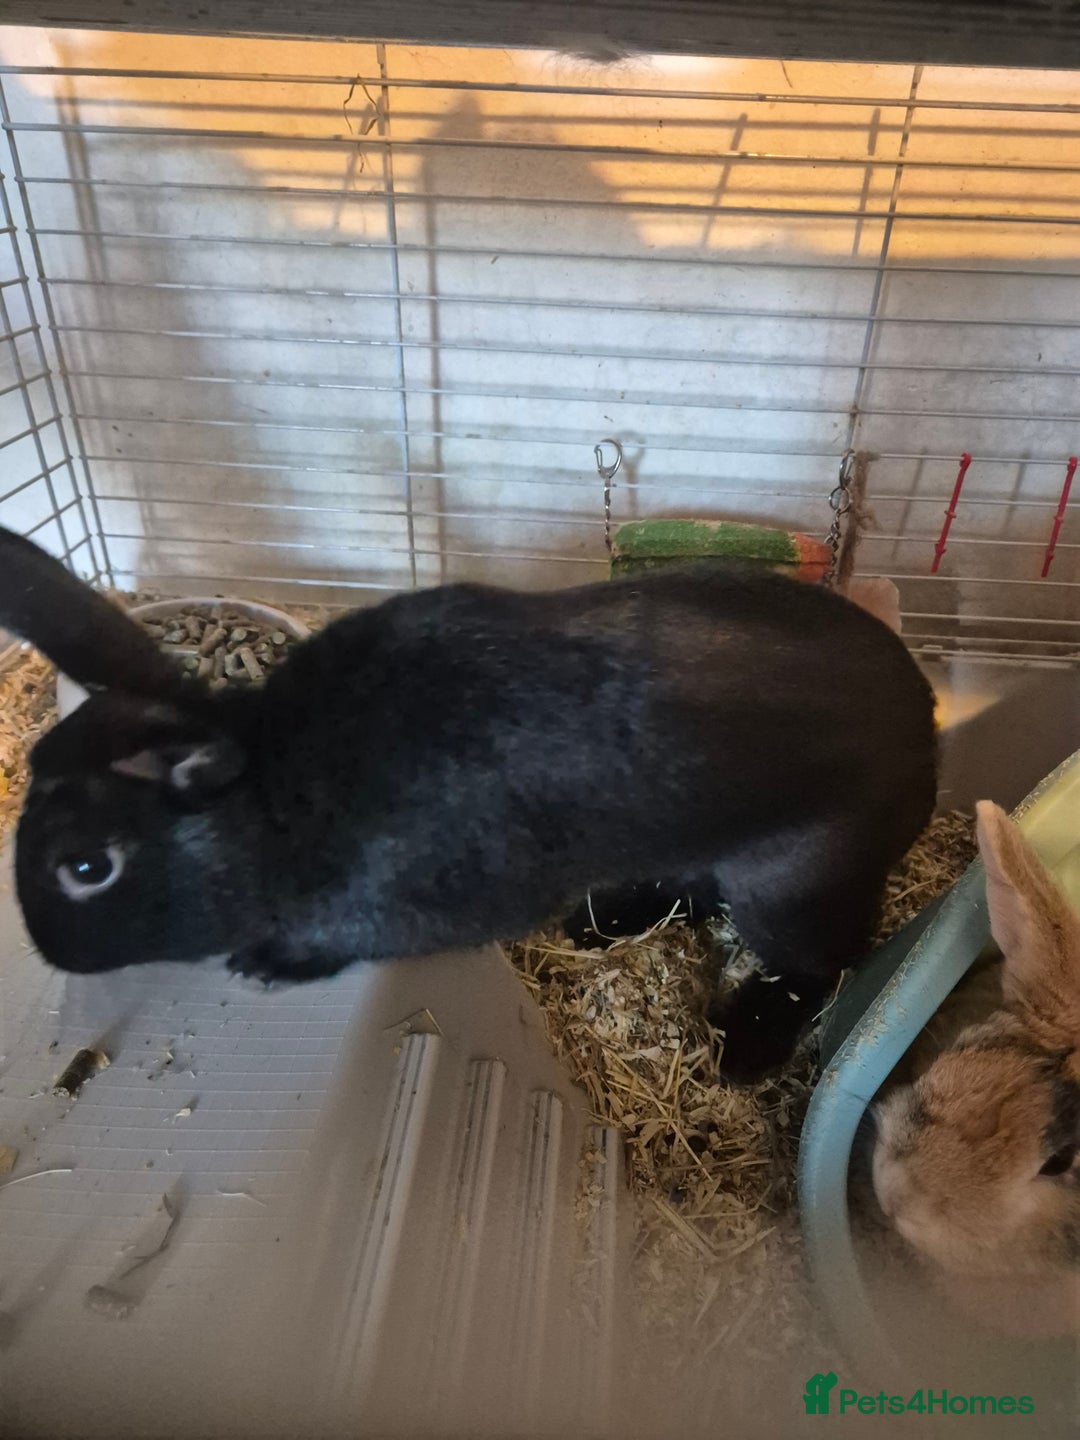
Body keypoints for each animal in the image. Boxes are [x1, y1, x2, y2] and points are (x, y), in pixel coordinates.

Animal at [0, 524, 937, 1083]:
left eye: (87, 866)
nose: (47, 949)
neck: (276, 797)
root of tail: (924, 738)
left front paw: (268, 966)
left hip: (791, 883)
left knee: (818, 962)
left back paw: (748, 1046)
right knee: (692, 894)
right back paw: (600, 924)